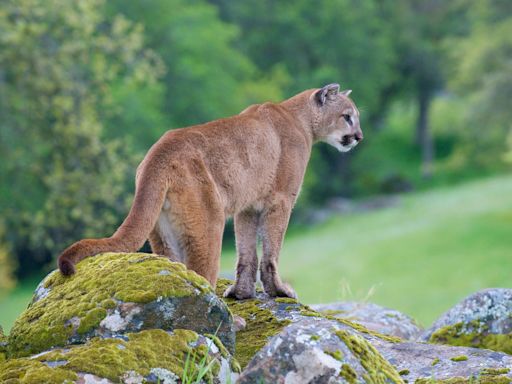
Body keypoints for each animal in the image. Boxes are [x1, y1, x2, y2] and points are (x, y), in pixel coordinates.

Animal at [58, 83, 362, 300]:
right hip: (209, 223)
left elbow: (246, 253)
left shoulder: (247, 207)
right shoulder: (281, 200)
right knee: (202, 275)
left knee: (179, 272)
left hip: (164, 233)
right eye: (347, 117)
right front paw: (279, 291)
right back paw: (230, 324)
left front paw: (241, 293)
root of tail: (159, 151)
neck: (300, 119)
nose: (359, 136)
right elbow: (271, 251)